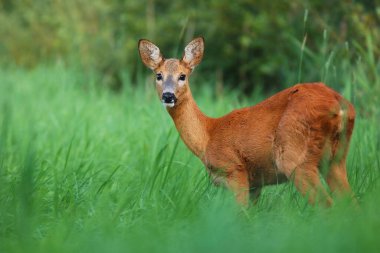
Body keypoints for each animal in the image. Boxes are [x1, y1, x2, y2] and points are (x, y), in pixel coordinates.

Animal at [139, 37, 356, 207]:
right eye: (159, 75)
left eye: (182, 76)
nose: (168, 96)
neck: (208, 136)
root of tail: (339, 104)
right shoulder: (255, 184)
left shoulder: (235, 170)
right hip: (336, 158)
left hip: (295, 157)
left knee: (327, 205)